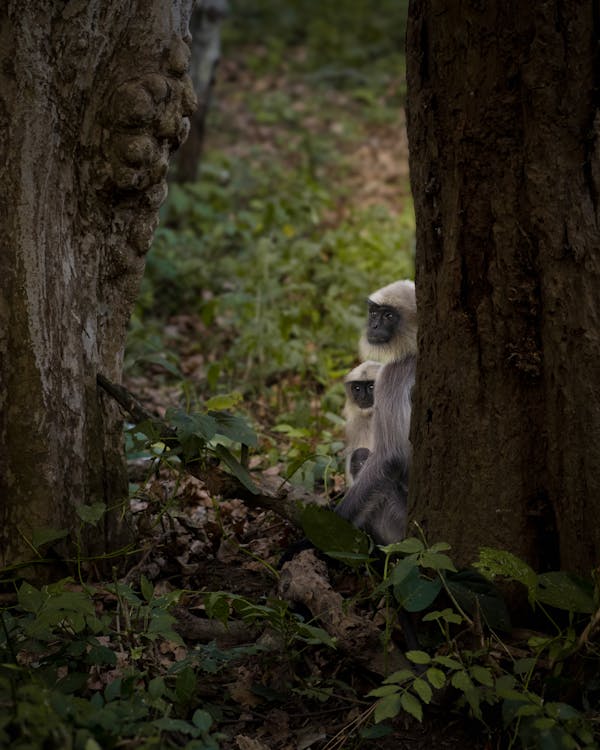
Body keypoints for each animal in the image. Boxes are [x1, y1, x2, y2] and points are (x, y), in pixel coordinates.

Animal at [338, 282, 418, 548]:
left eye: (389, 316)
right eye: (374, 313)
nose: (372, 326)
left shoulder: (392, 375)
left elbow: (388, 458)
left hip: (399, 525)